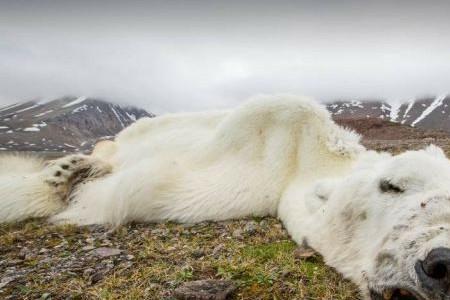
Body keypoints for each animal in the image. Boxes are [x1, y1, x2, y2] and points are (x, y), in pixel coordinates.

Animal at [0, 94, 450, 300]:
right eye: (390, 185)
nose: (441, 264)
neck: (306, 156)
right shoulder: (259, 148)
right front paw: (62, 183)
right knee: (111, 147)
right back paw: (70, 166)